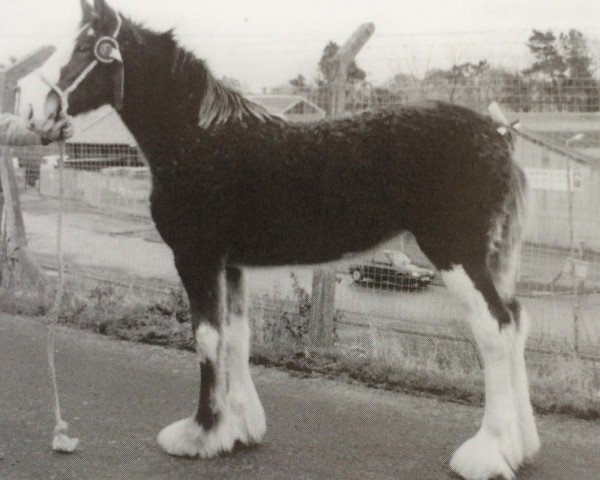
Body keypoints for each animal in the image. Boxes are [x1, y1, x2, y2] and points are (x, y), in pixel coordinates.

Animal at [45, 1, 540, 478]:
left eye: (88, 49)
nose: (47, 112)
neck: (199, 139)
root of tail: (497, 135)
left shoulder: (195, 258)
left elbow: (206, 338)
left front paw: (199, 434)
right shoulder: (231, 264)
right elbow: (237, 337)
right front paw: (239, 429)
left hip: (456, 255)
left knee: (495, 330)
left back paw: (487, 452)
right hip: (487, 261)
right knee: (516, 323)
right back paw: (521, 449)